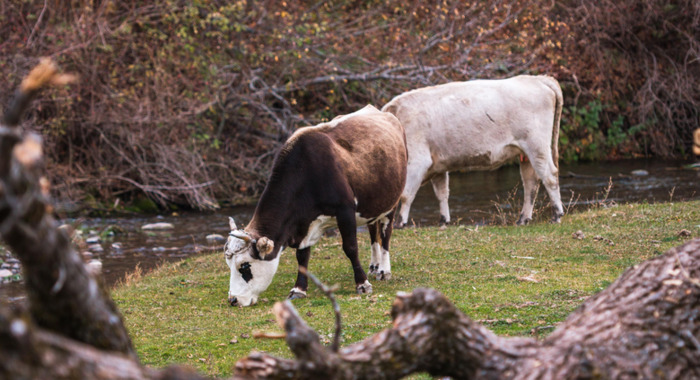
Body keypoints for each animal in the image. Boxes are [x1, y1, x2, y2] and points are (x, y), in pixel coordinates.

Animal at [224, 105, 408, 308]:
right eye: (229, 265)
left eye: (244, 266)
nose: (233, 299)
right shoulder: (303, 223)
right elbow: (302, 256)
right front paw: (298, 289)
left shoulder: (345, 210)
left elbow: (351, 247)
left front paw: (362, 284)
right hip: (372, 204)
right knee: (373, 232)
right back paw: (374, 267)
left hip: (391, 202)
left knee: (385, 233)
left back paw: (383, 270)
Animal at [382, 75, 564, 227]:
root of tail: (536, 78)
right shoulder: (438, 165)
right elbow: (442, 193)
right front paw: (443, 221)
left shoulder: (418, 160)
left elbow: (406, 194)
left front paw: (399, 223)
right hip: (526, 153)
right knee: (531, 183)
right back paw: (523, 219)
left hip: (537, 146)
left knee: (550, 176)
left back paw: (556, 216)